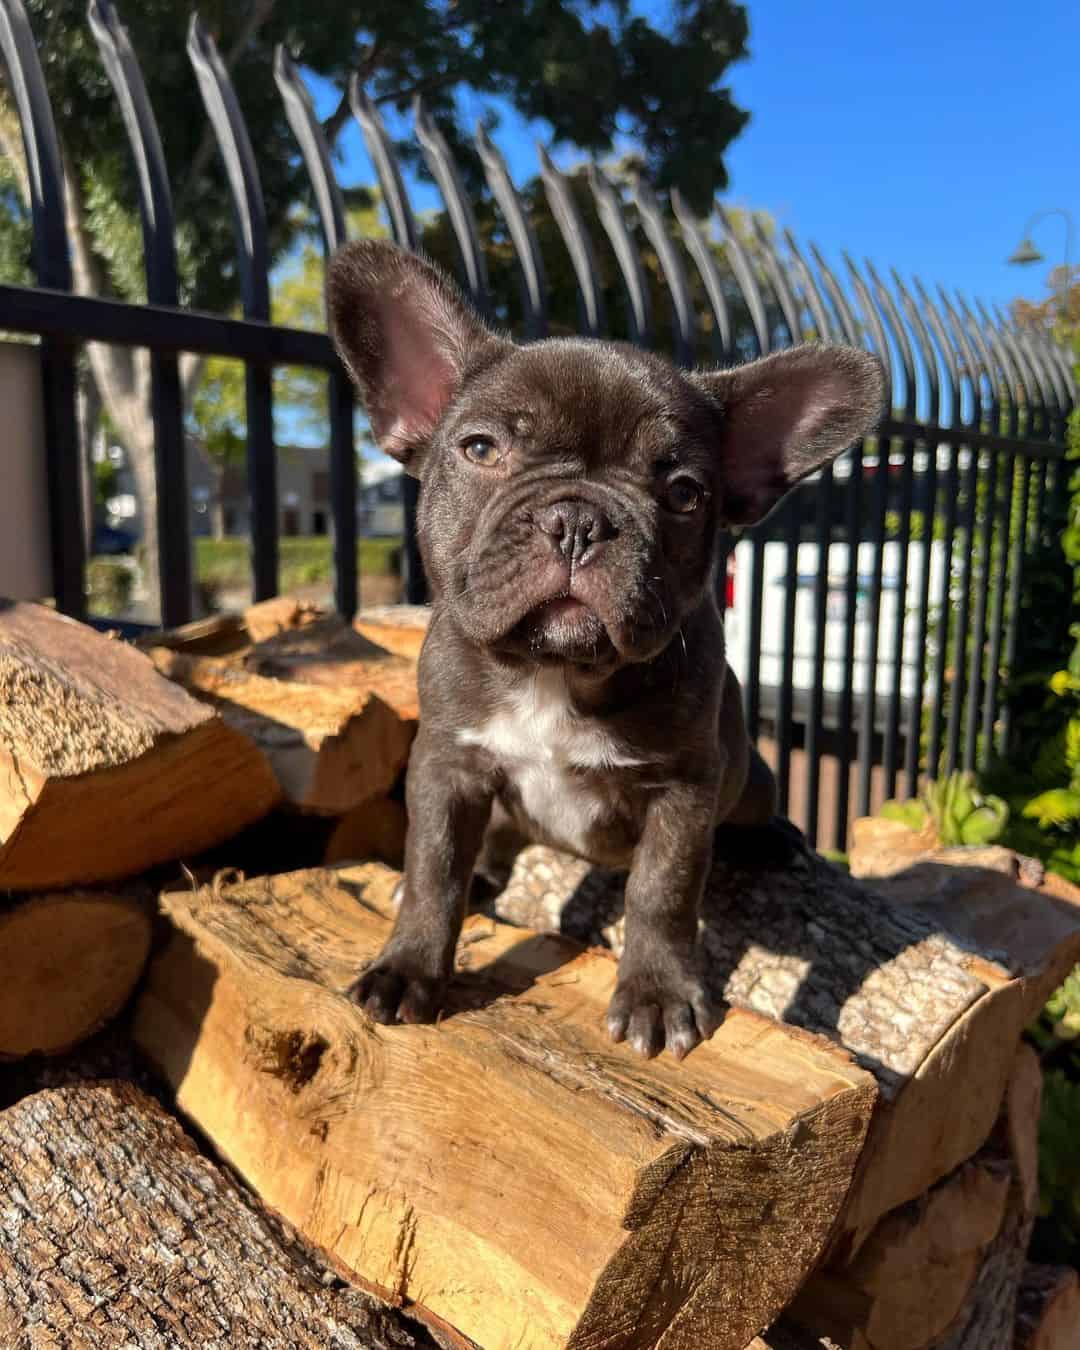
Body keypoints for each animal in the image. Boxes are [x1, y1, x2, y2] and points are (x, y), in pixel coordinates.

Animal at [329, 243, 885, 1063]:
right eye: (481, 449)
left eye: (685, 493)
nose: (577, 519)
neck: (553, 674)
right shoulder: (446, 763)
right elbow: (434, 867)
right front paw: (408, 967)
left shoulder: (683, 792)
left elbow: (662, 892)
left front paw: (656, 994)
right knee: (492, 839)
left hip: (748, 777)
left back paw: (775, 839)